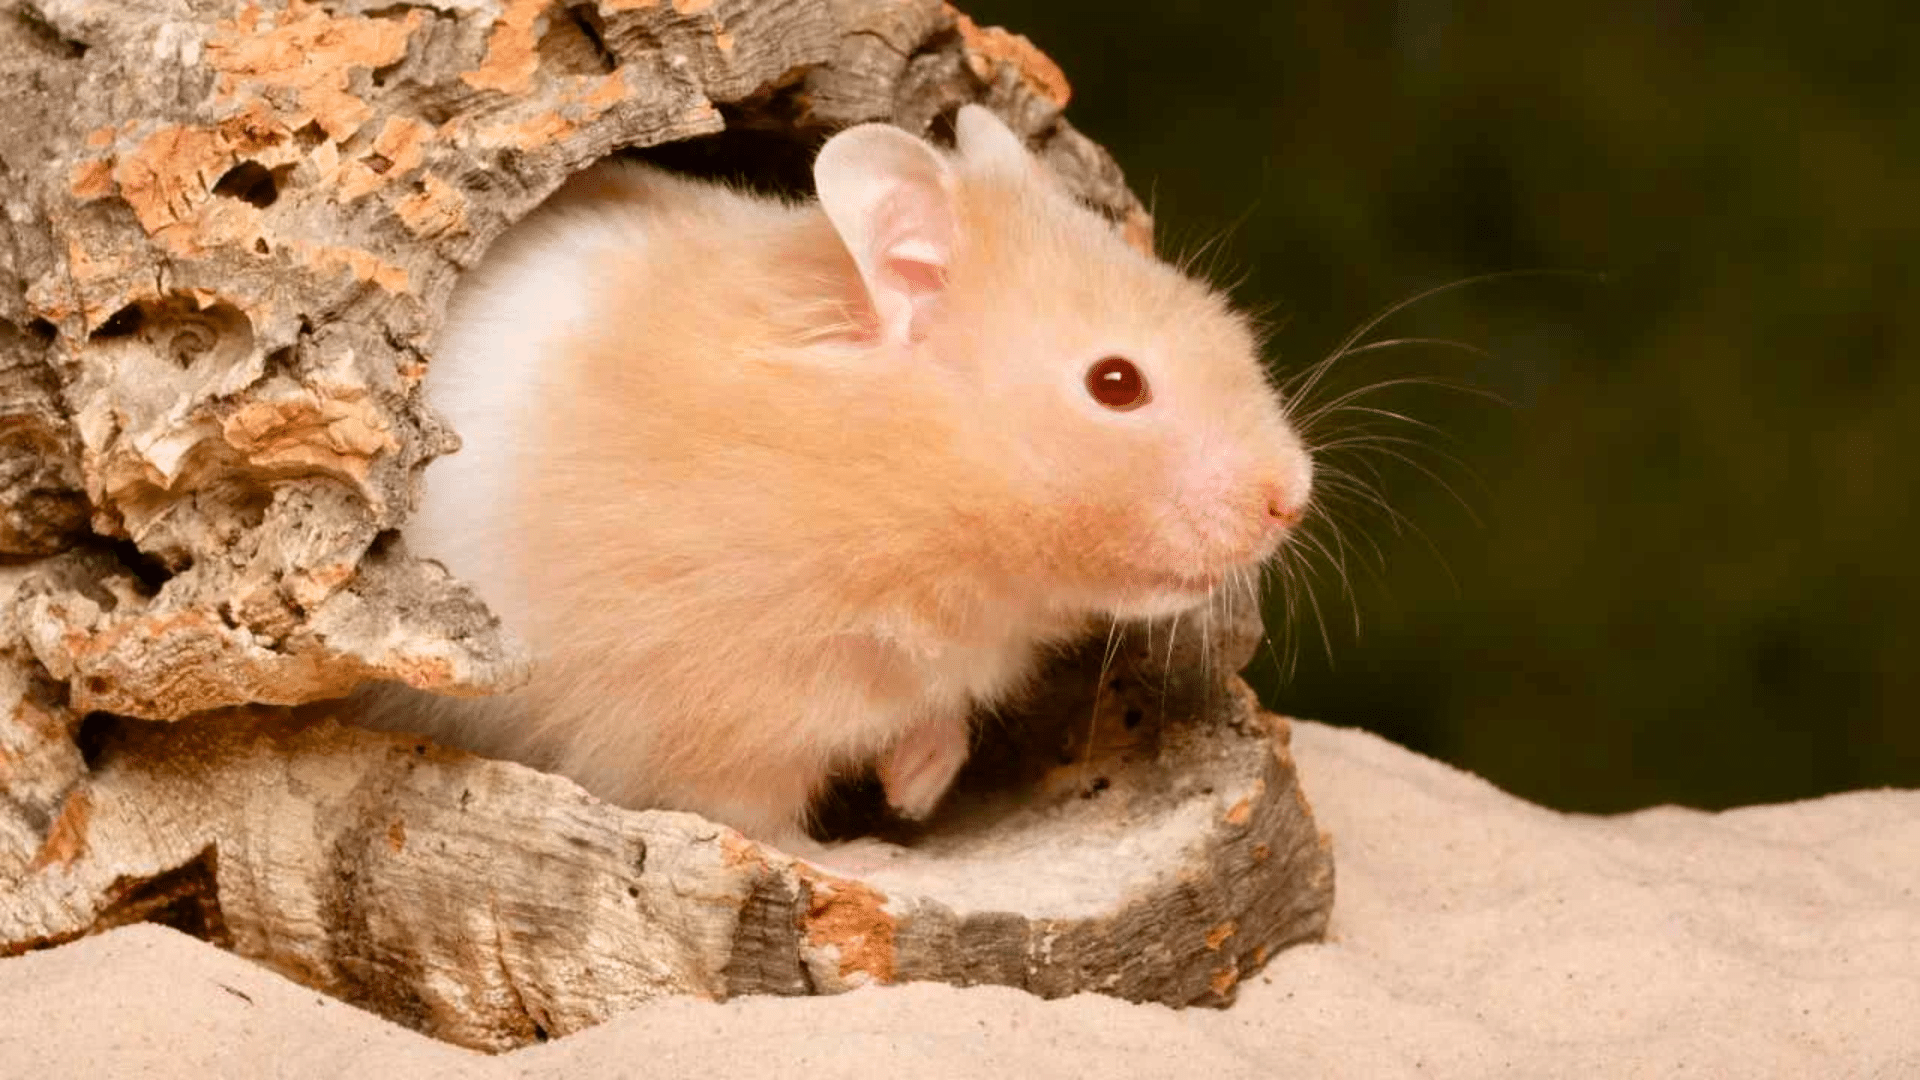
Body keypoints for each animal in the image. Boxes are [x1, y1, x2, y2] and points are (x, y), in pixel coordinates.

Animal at [368, 106, 1313, 852]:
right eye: (1116, 384)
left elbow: (939, 721)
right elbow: (751, 818)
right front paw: (865, 858)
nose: (1293, 498)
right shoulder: (706, 706)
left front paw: (913, 791)